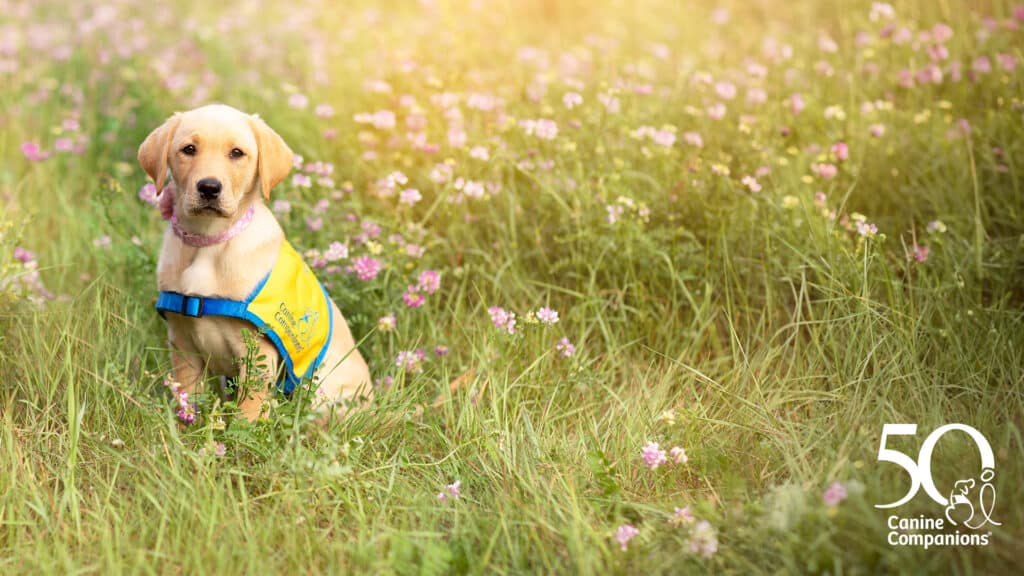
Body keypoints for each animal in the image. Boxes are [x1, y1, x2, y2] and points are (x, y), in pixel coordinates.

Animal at [138, 104, 372, 416]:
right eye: (188, 149)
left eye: (237, 153)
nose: (209, 187)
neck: (209, 242)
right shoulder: (182, 342)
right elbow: (188, 398)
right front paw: (185, 422)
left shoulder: (256, 352)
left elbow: (248, 411)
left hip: (325, 390)